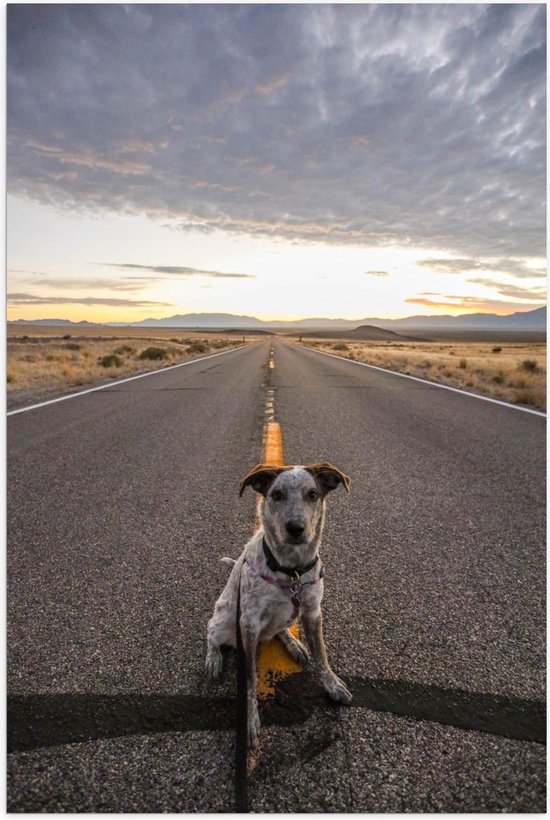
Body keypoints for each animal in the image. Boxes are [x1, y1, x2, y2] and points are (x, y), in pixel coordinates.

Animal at [206, 462, 354, 748]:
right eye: (276, 495)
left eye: (312, 494)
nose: (295, 527)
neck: (291, 571)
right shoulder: (248, 625)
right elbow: (250, 680)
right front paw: (249, 721)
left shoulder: (312, 612)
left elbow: (322, 656)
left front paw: (332, 686)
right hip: (223, 621)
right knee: (210, 635)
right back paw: (213, 659)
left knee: (281, 629)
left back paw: (294, 644)